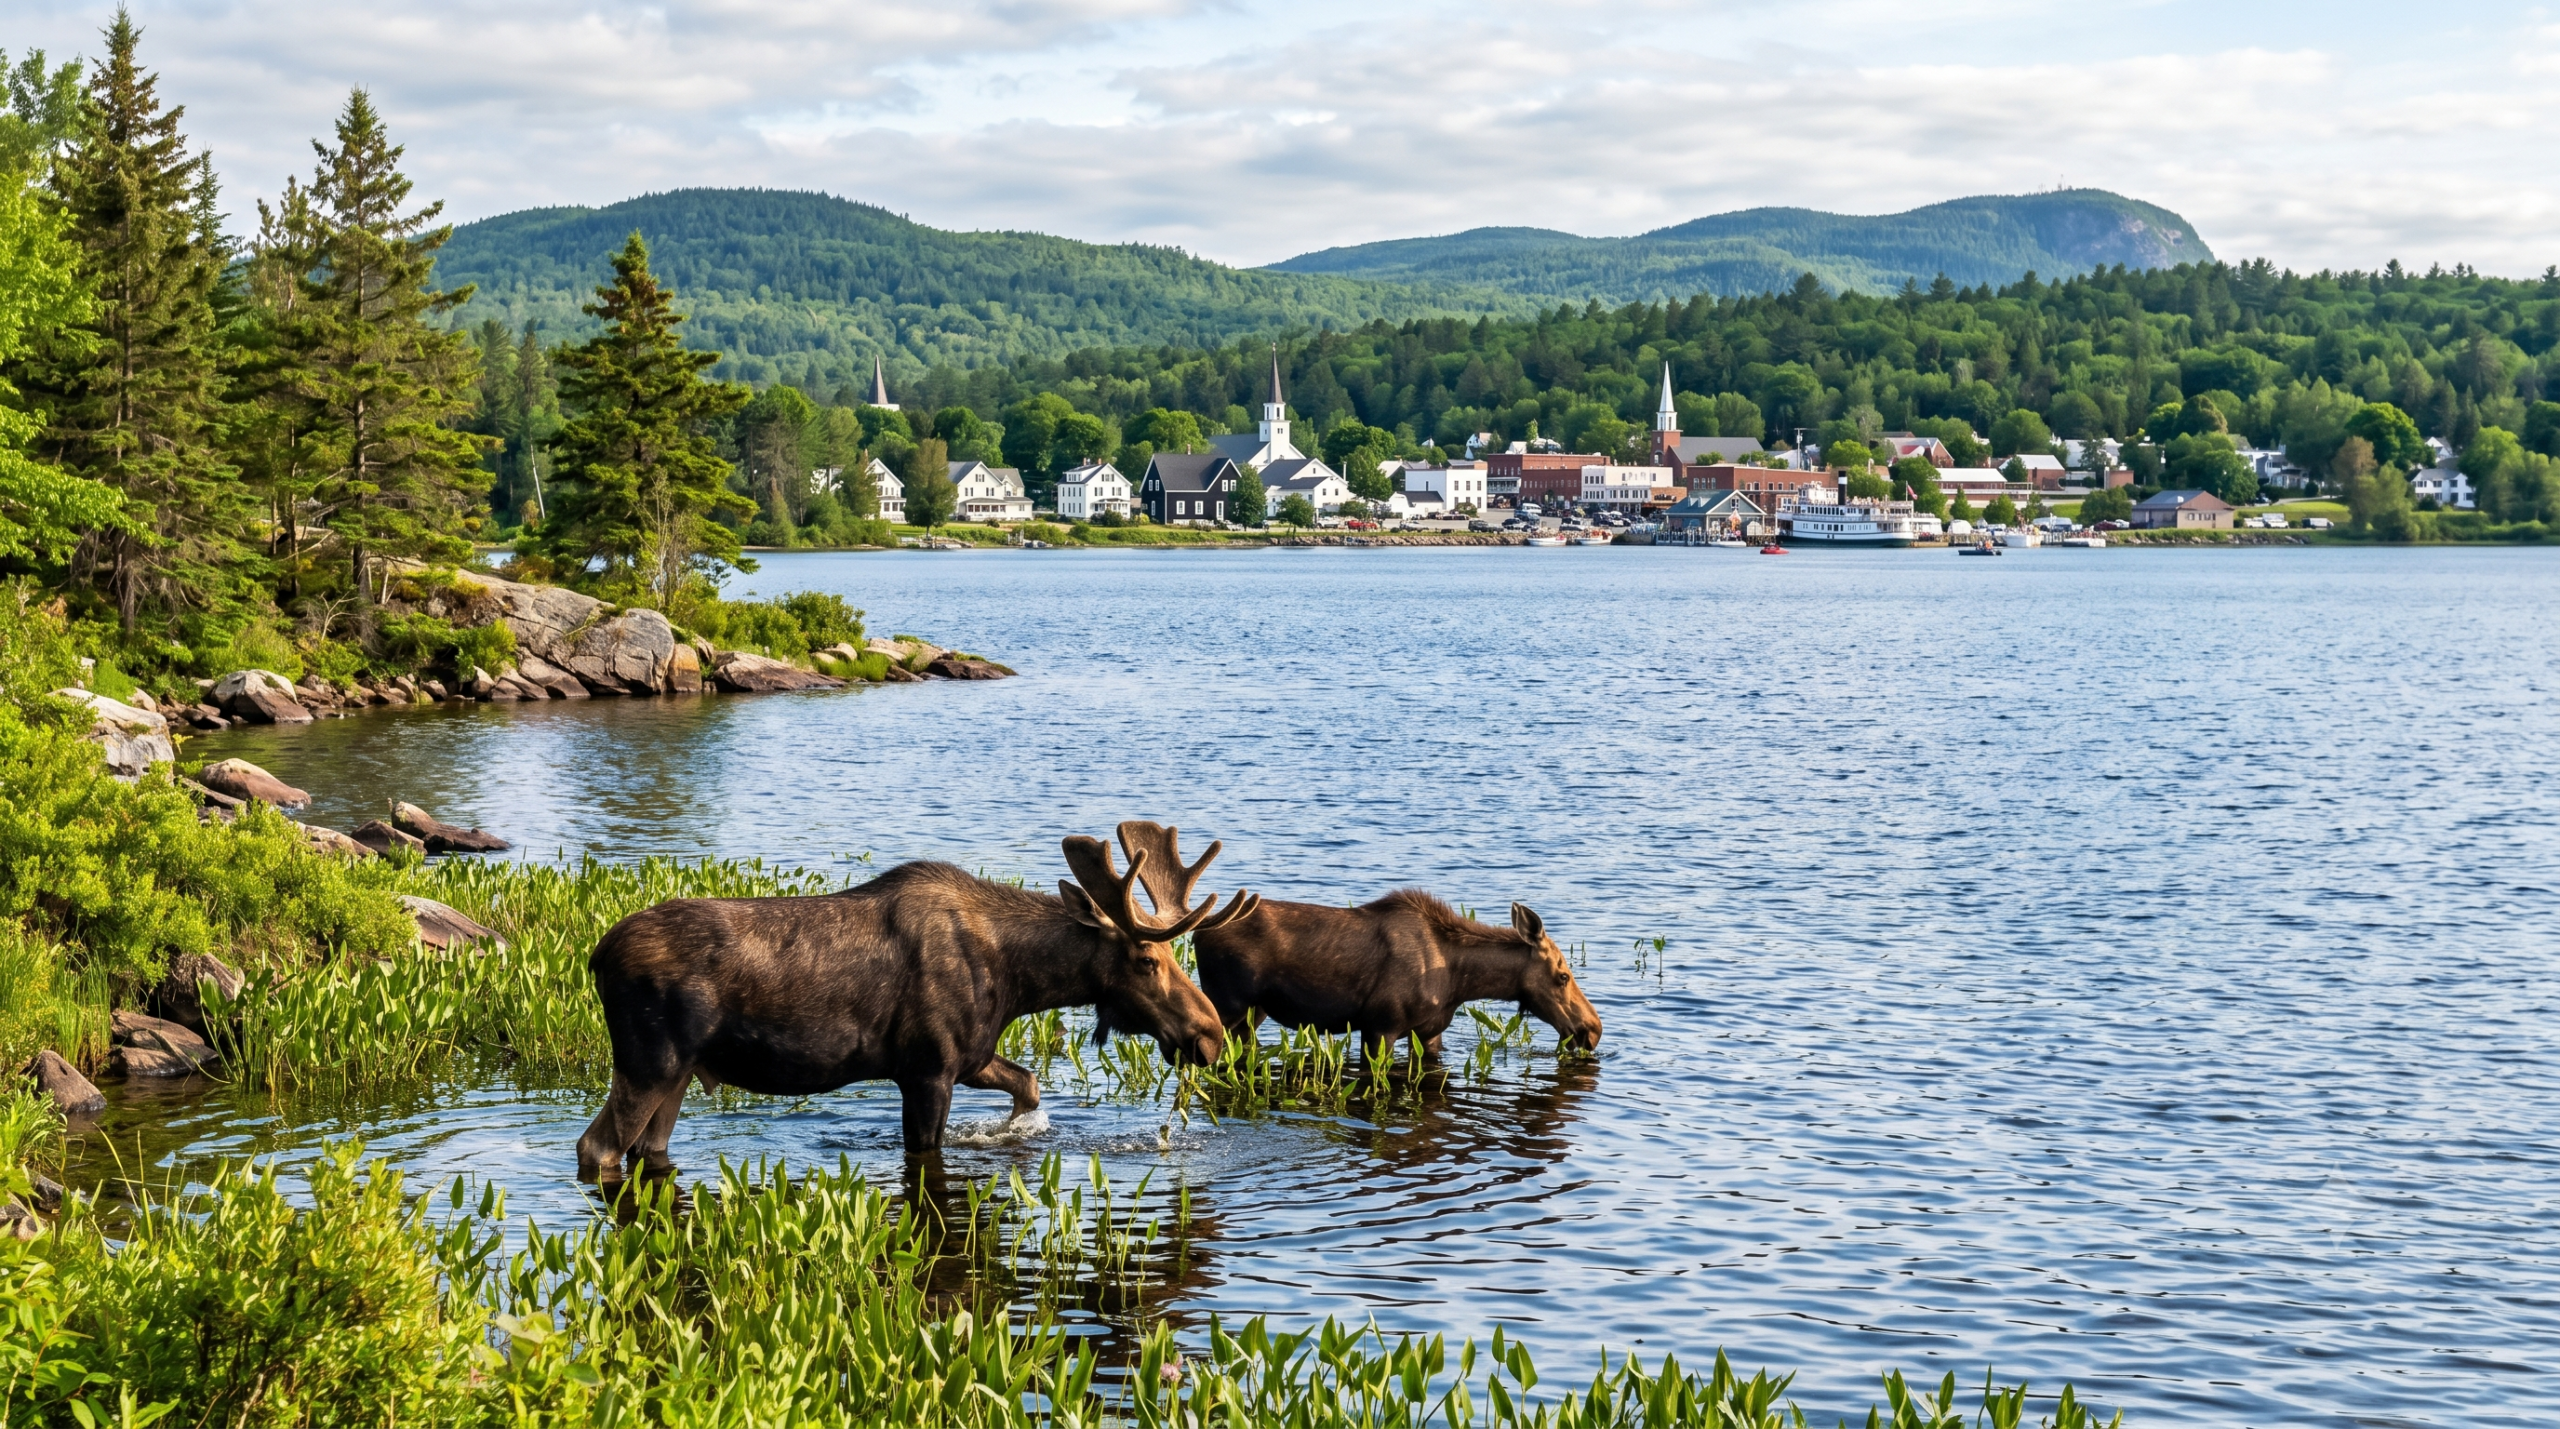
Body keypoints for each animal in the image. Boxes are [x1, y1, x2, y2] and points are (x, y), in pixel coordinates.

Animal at [576, 833, 1258, 1180]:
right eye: (1148, 960)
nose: (1210, 1034)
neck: (1018, 981)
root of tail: (597, 956)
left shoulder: (972, 1054)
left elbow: (1030, 1084)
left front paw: (1013, 1131)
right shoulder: (927, 1068)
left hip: (681, 1072)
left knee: (648, 1149)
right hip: (649, 1060)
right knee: (598, 1147)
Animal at [1114, 822, 1601, 1063]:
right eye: (1562, 975)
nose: (1593, 1029)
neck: (1461, 980)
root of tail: (1198, 928)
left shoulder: (1430, 1032)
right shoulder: (1379, 1026)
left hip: (1253, 1014)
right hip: (1229, 1007)